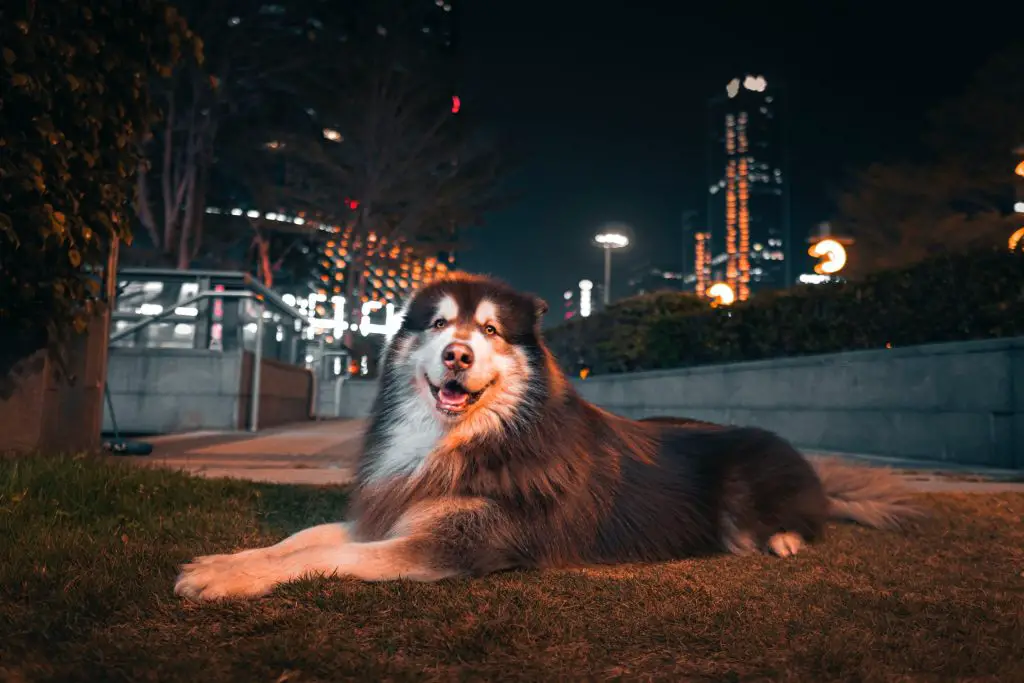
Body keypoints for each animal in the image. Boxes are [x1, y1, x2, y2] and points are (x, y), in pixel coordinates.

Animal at [174, 274, 921, 602]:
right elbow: (303, 539)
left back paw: (786, 537)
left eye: (490, 331)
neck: (465, 439)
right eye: (439, 325)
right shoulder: (393, 511)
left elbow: (327, 557)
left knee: (806, 520)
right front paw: (226, 560)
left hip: (754, 473)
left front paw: (229, 578)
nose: (458, 355)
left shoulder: (456, 545)